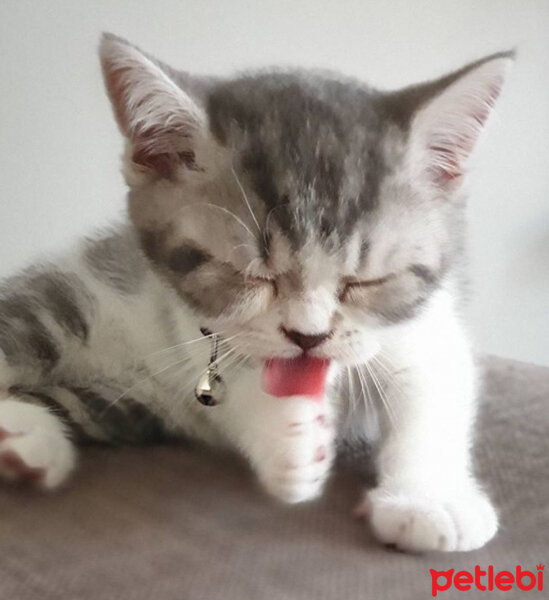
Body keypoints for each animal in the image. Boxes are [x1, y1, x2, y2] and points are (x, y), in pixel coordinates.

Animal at [0, 31, 512, 548]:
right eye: (247, 275)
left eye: (365, 281)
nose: (308, 336)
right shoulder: (194, 324)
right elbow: (232, 383)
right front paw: (287, 437)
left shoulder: (425, 324)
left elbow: (431, 386)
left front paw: (430, 498)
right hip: (66, 302)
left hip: (128, 403)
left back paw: (26, 443)